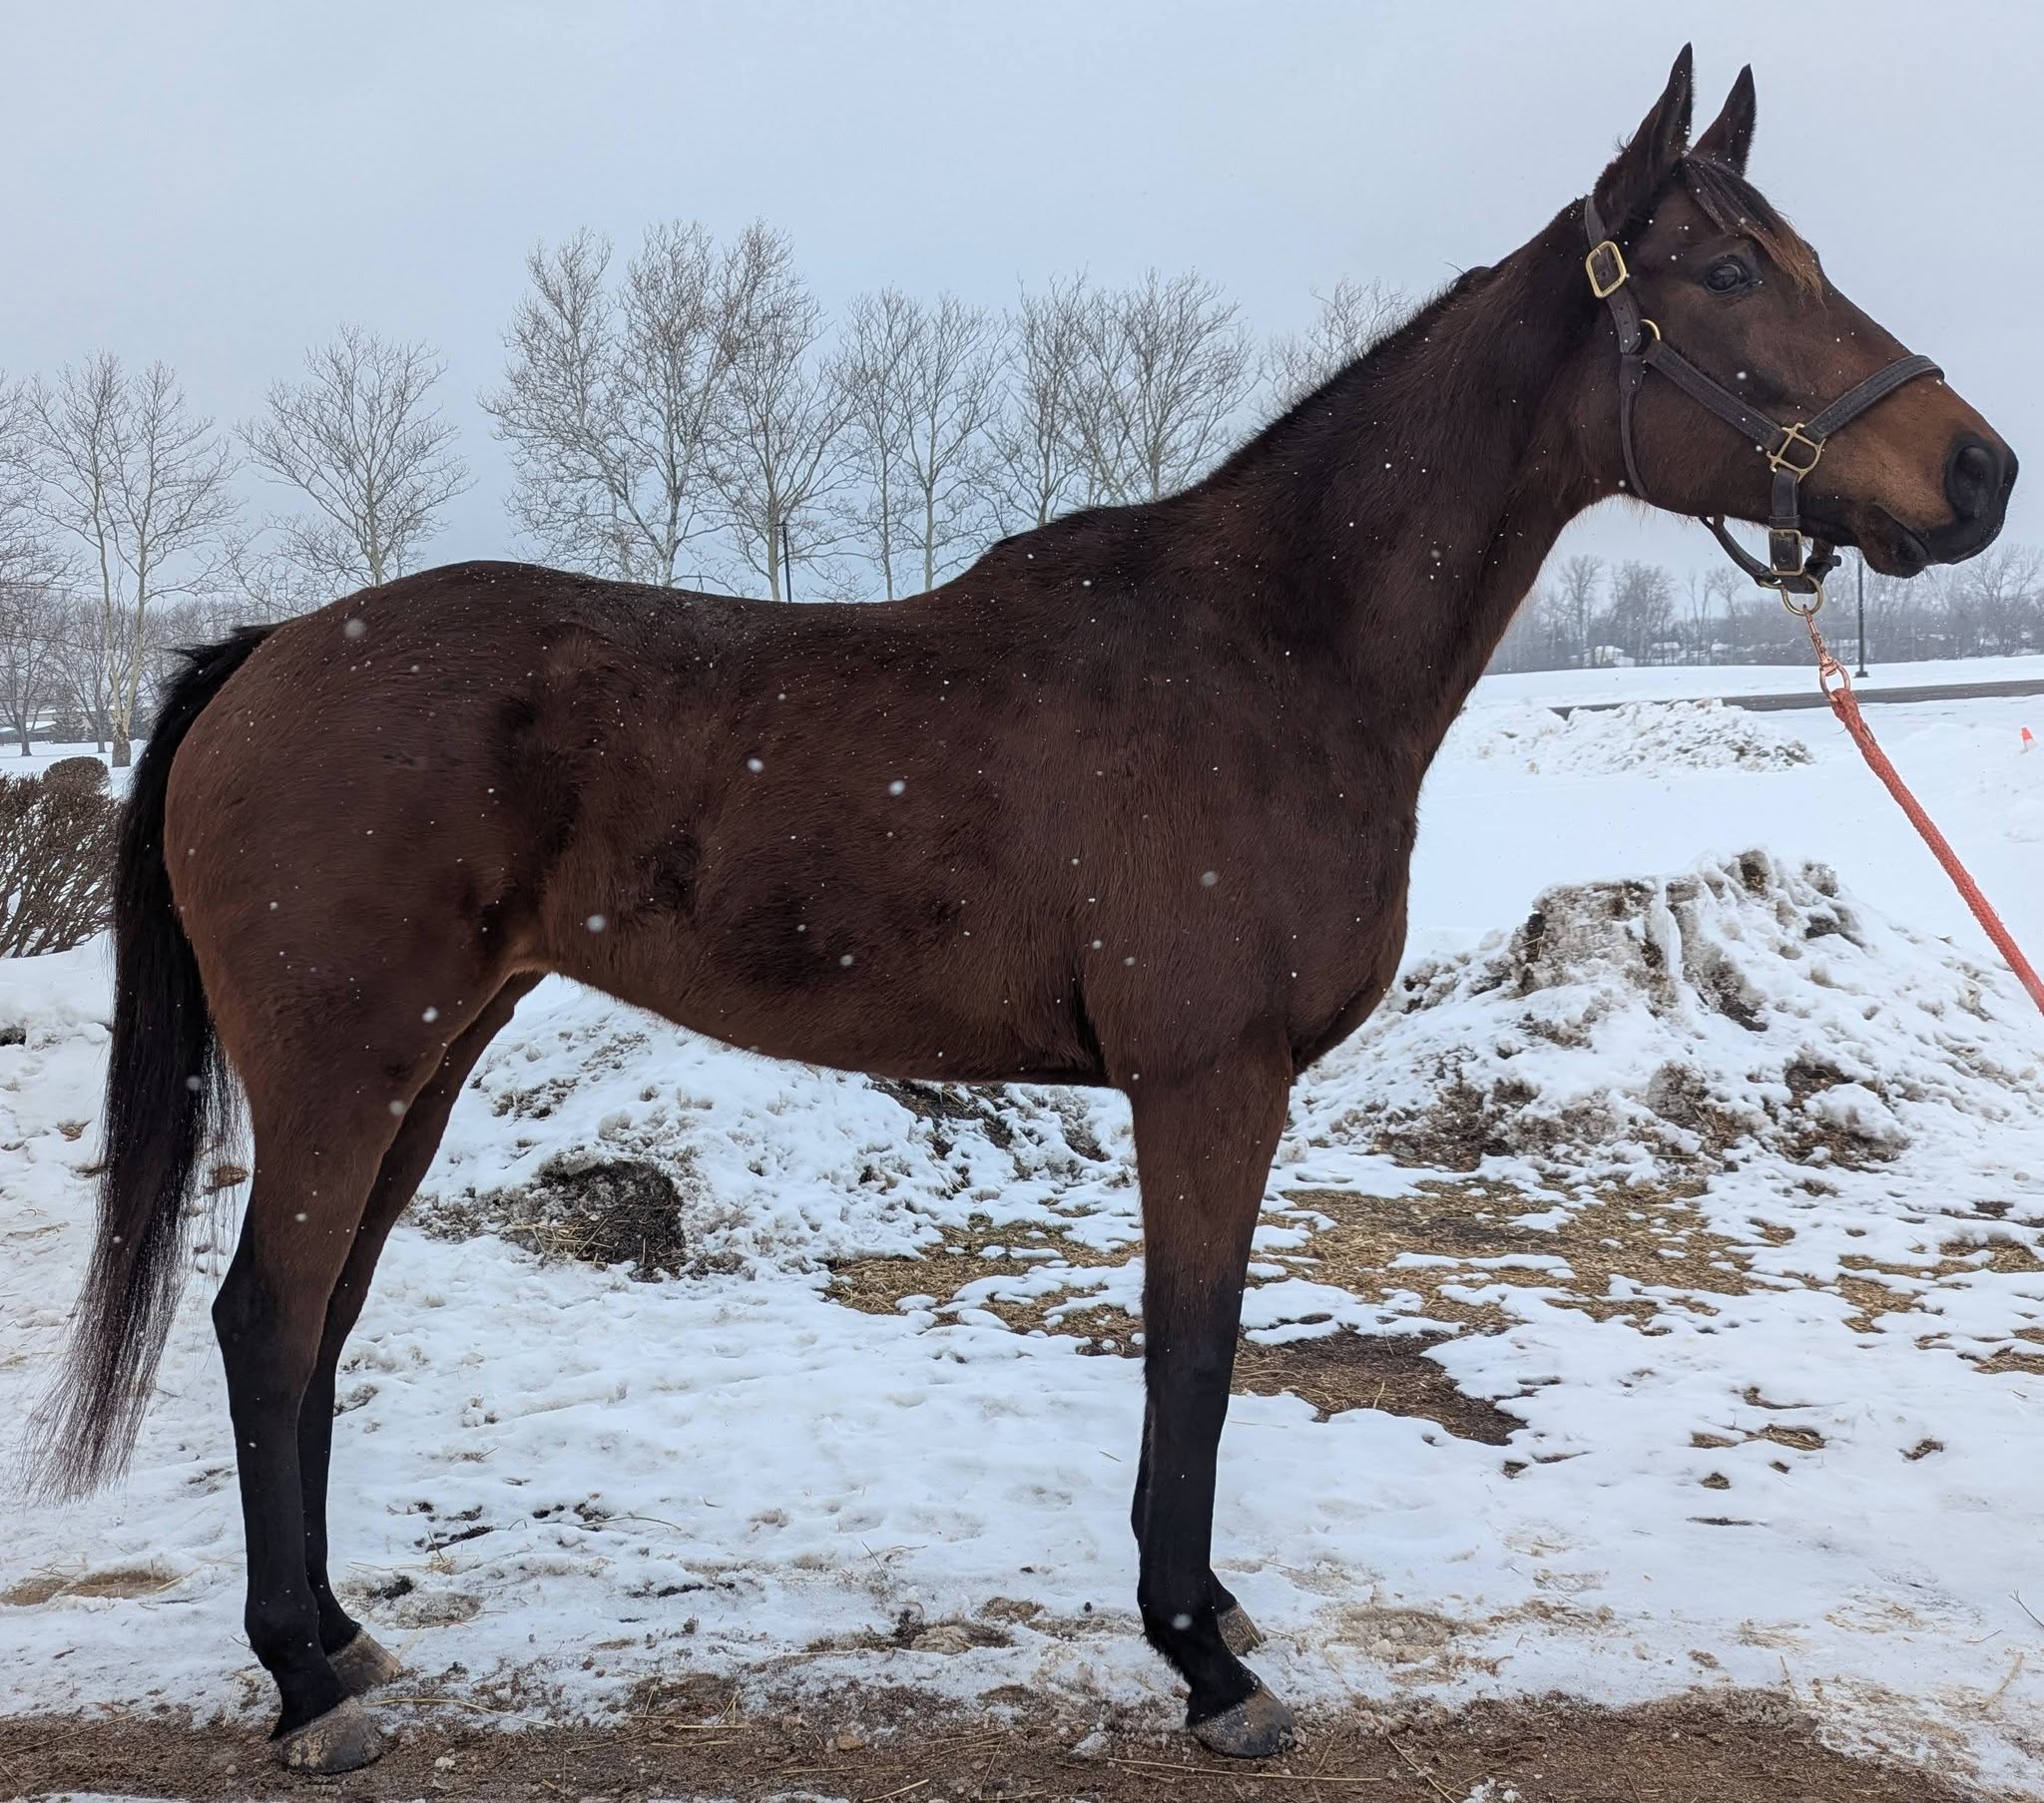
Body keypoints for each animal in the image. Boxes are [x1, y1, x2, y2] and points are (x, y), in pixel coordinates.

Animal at [35, 47, 2015, 1773]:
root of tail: (263, 653)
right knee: (267, 1322)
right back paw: (306, 1687)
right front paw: (1207, 1660)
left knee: (318, 1326)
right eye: (1726, 267)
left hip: (423, 1065)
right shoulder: (1209, 1082)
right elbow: (1195, 1356)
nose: (1981, 473)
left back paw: (341, 1636)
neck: (1270, 650)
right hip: (347, 1067)